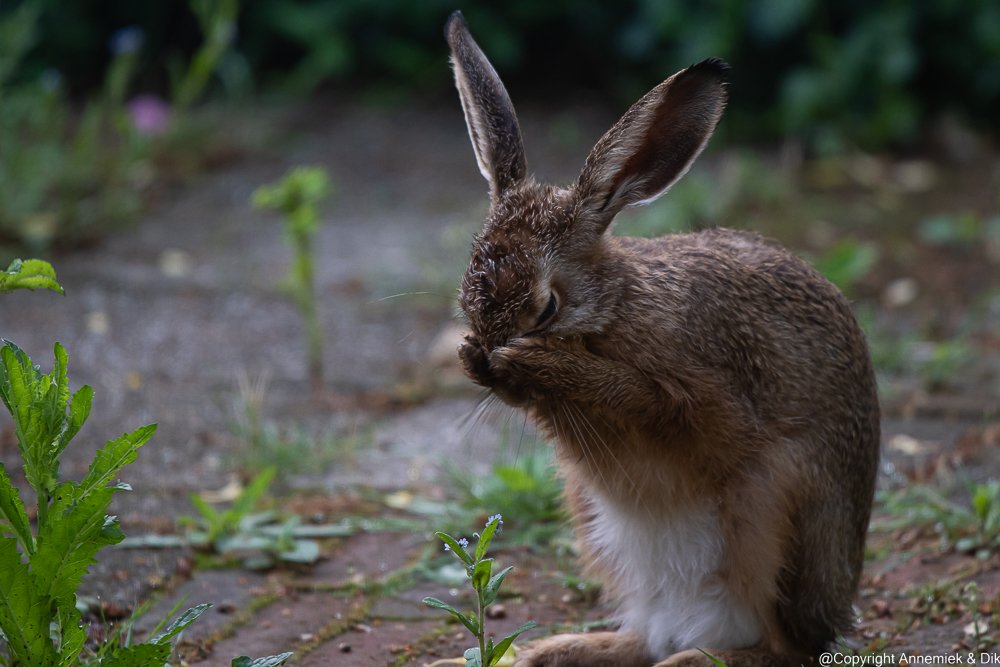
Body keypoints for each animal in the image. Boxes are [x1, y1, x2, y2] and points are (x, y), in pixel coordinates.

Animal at [446, 10, 880, 667]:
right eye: (468, 295)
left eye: (547, 307)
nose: (490, 356)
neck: (613, 309)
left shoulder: (703, 393)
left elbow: (656, 403)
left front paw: (540, 365)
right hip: (593, 519)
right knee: (641, 640)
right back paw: (554, 649)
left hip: (780, 508)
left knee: (784, 648)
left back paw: (695, 657)